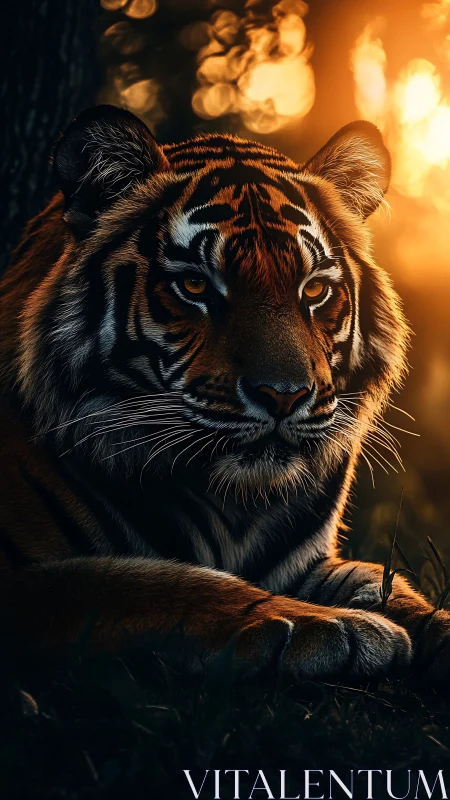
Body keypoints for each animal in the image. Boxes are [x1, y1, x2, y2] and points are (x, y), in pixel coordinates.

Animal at [0, 103, 448, 682]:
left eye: (314, 290)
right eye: (194, 287)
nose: (284, 396)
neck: (236, 505)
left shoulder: (310, 563)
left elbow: (386, 580)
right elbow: (146, 582)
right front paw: (338, 627)